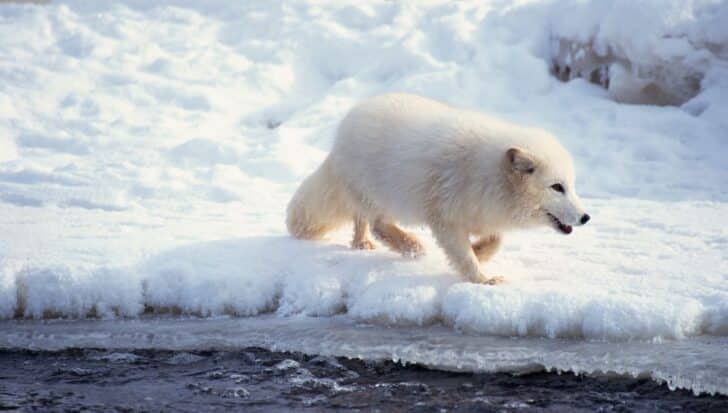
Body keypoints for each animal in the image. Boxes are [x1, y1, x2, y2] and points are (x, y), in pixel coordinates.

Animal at [288, 93, 588, 284]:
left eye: (572, 186)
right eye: (557, 187)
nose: (586, 217)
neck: (487, 174)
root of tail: (346, 124)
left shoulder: (481, 214)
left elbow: (496, 240)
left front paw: (480, 252)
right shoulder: (445, 218)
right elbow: (463, 256)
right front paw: (483, 279)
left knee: (361, 219)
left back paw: (362, 244)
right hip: (381, 194)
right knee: (377, 223)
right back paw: (411, 246)